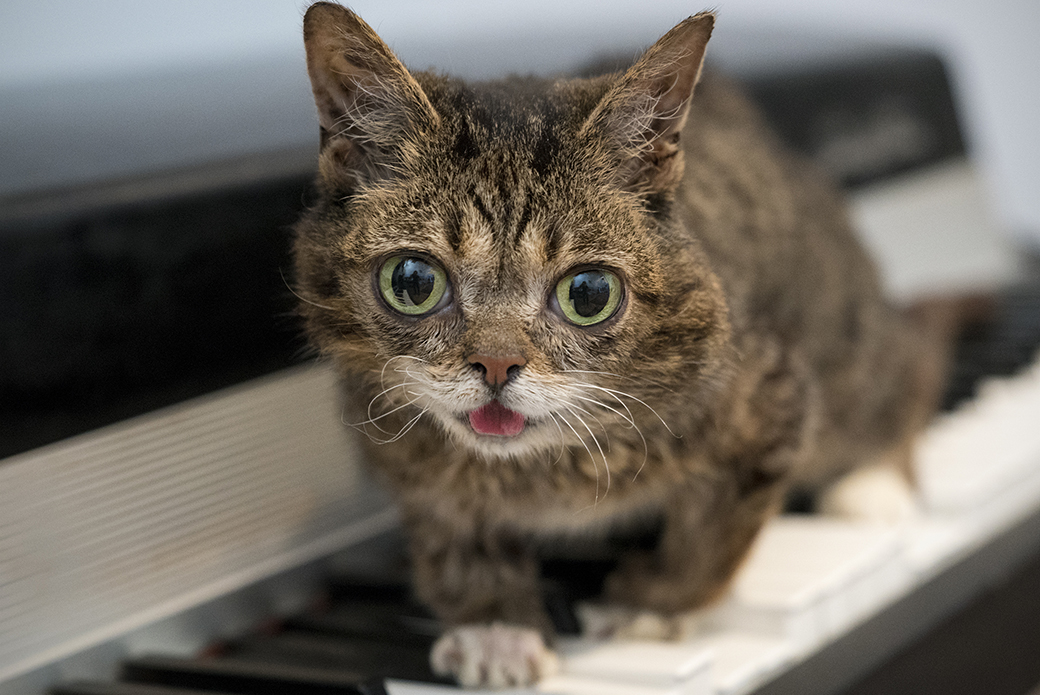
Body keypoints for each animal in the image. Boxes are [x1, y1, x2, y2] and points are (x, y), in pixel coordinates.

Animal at [293, 2, 952, 690]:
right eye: (413, 282)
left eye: (588, 293)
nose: (496, 363)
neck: (540, 469)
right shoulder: (398, 451)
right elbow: (453, 545)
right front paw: (495, 628)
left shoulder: (771, 404)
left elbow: (710, 539)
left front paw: (647, 606)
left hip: (850, 349)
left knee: (912, 363)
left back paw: (873, 484)